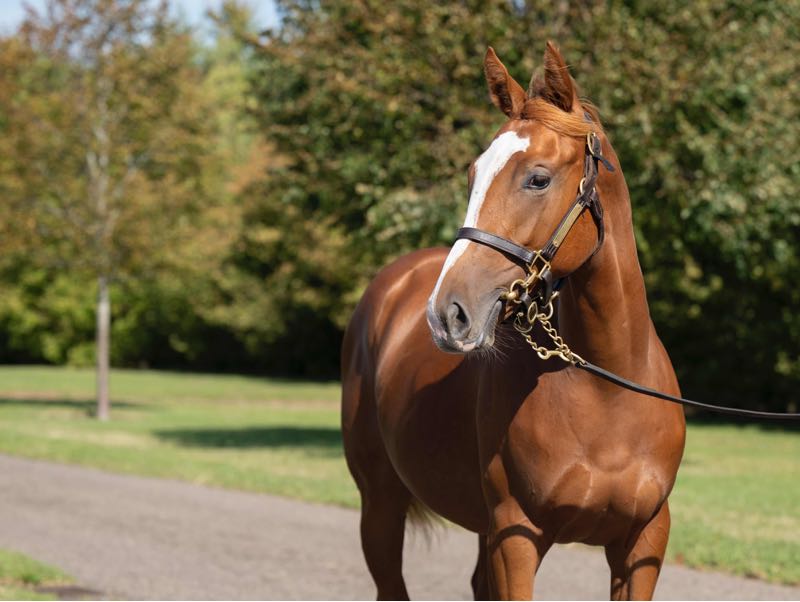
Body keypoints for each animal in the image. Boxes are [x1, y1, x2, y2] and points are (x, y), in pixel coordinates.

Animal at [341, 41, 686, 600]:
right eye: (472, 176)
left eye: (538, 178)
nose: (446, 314)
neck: (606, 393)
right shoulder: (516, 537)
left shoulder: (643, 543)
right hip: (380, 506)